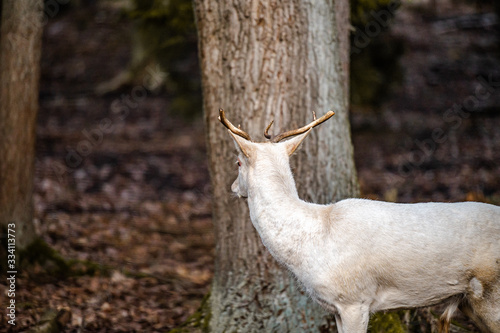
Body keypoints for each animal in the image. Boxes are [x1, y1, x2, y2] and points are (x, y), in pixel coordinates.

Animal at [219, 109, 500, 332]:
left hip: (493, 296)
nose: (232, 187)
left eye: (237, 162)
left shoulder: (354, 300)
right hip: (470, 302)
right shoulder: (337, 307)